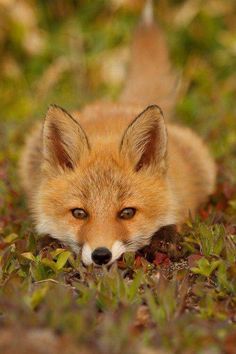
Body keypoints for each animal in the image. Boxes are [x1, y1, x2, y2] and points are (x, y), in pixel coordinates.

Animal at [19, 0, 216, 266]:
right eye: (79, 213)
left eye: (127, 213)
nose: (101, 255)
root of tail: (123, 104)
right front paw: (49, 245)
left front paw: (165, 239)